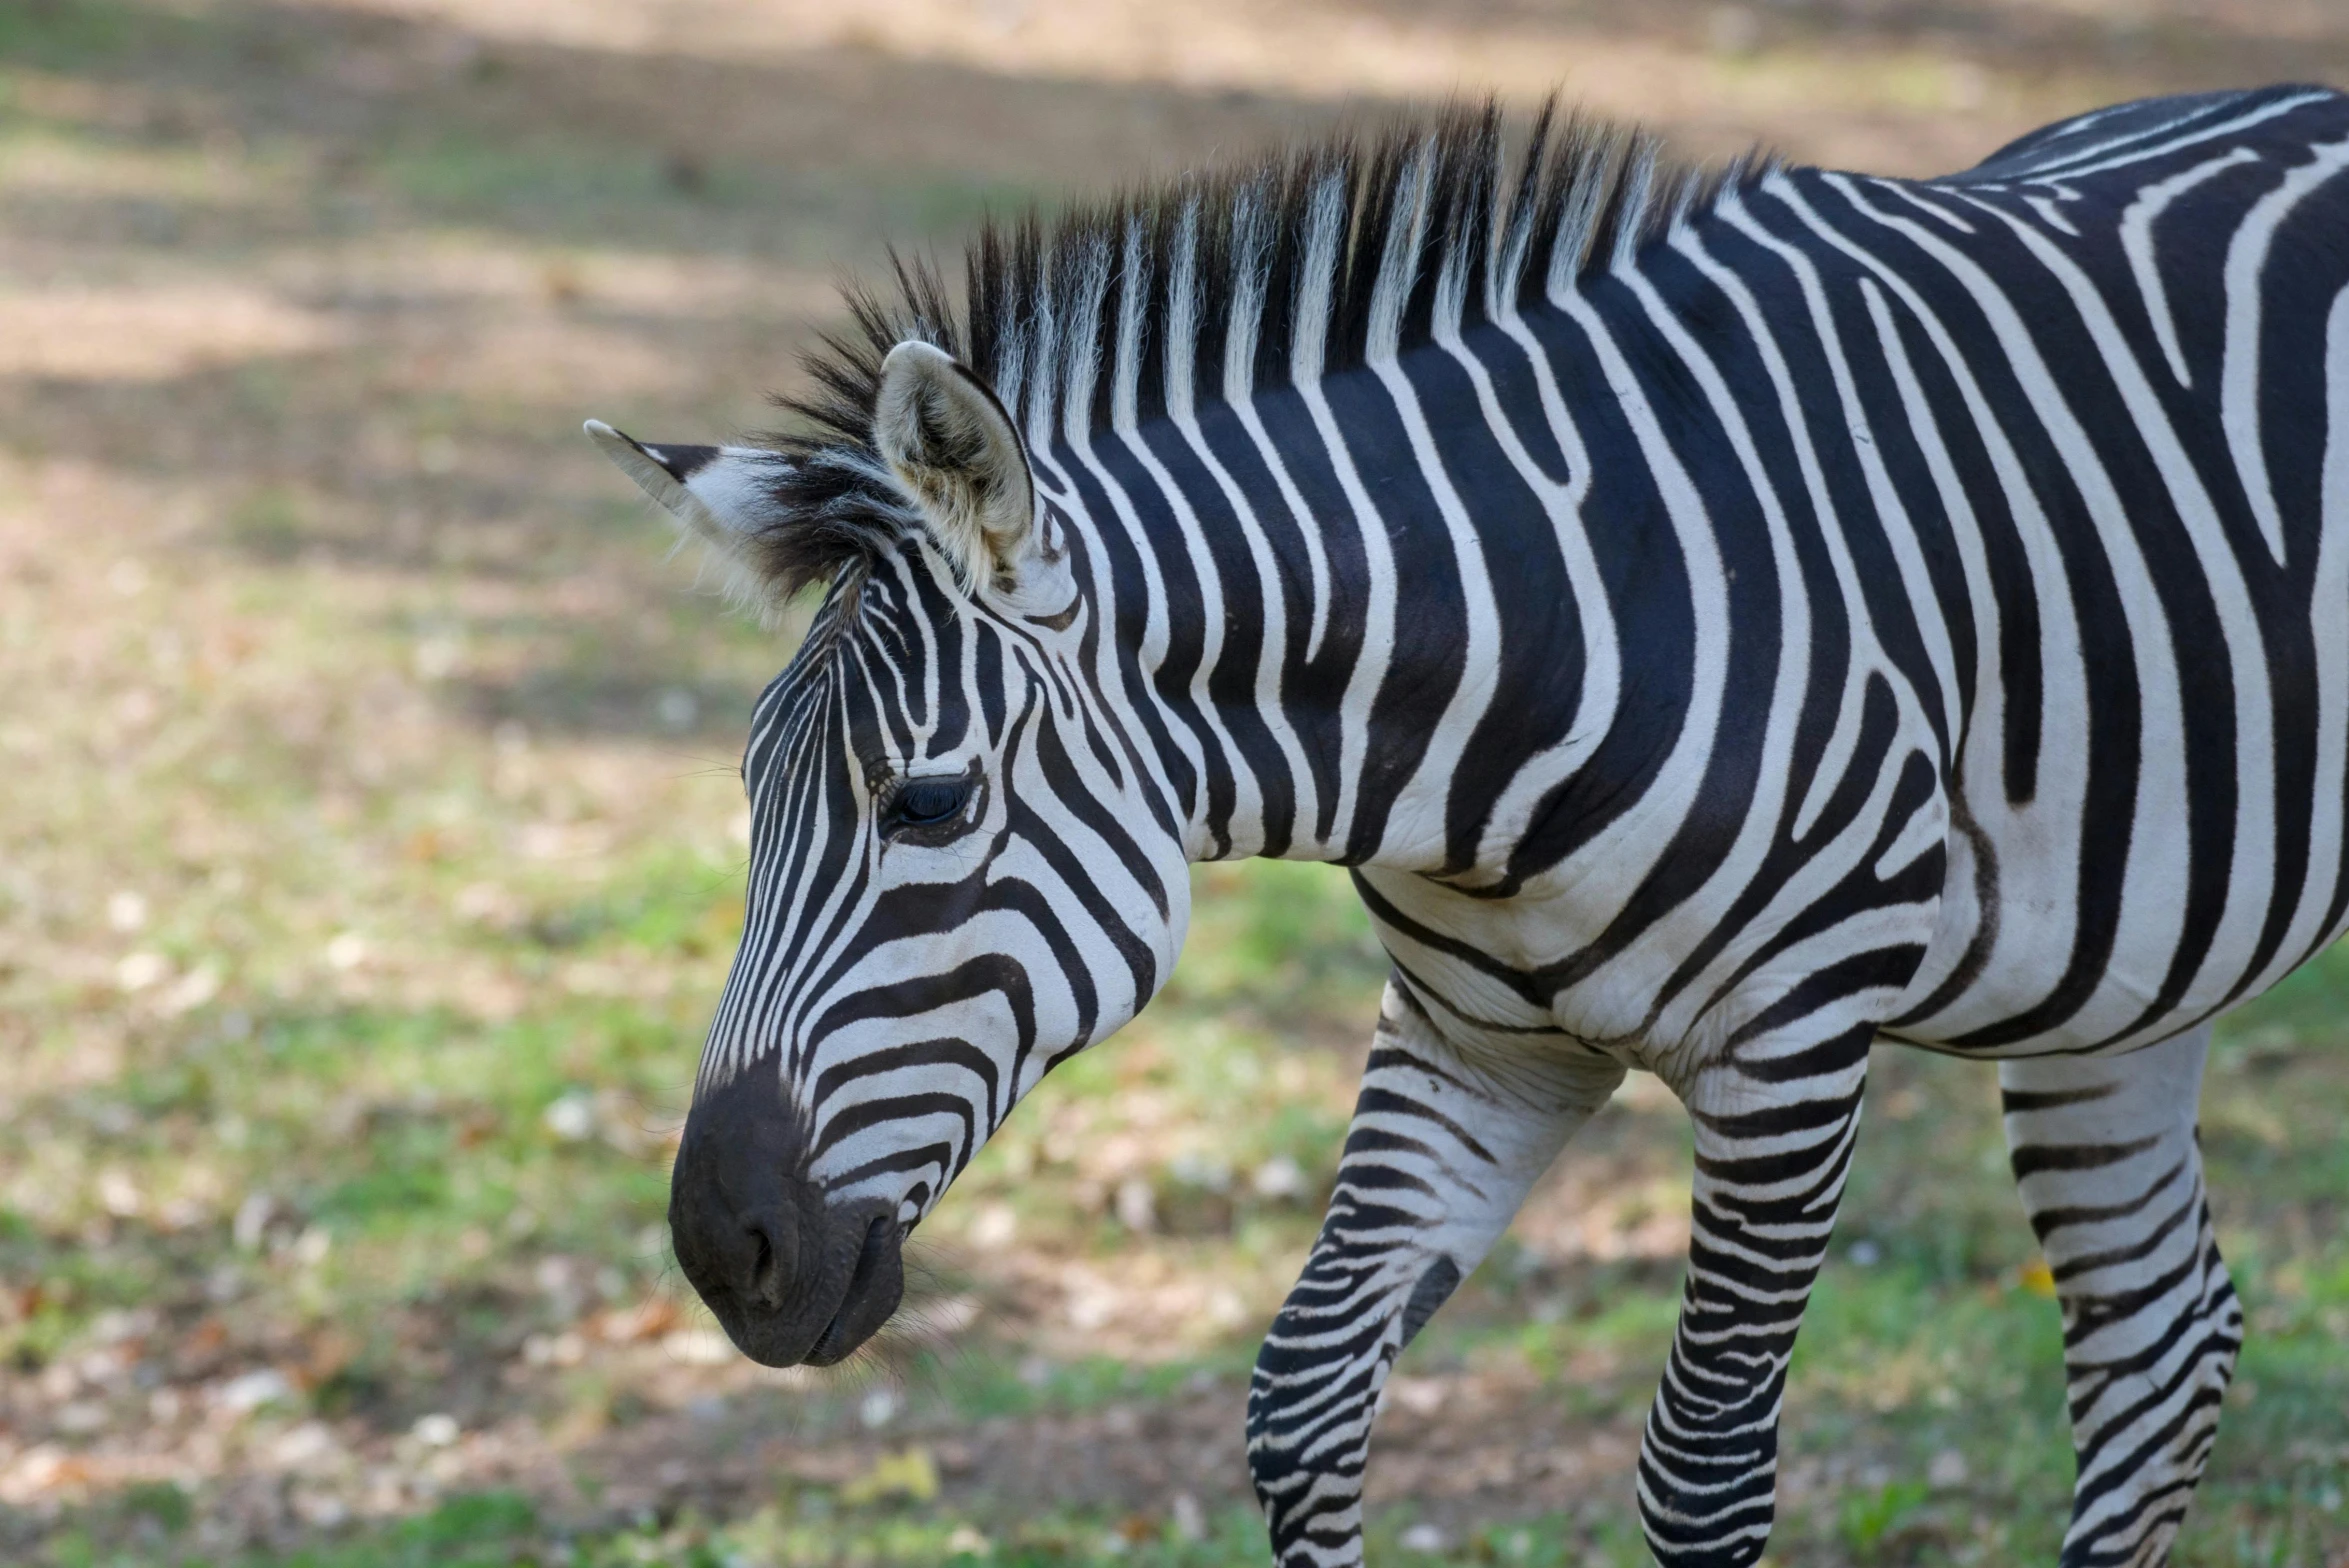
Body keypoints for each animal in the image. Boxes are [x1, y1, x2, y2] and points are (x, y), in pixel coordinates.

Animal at [582, 88, 2349, 1568]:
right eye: (748, 798)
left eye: (929, 801)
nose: (720, 1253)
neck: (1542, 646)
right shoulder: (1477, 1041)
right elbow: (1301, 1402)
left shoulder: (1792, 1056)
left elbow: (1703, 1480)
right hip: (2117, 979)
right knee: (2156, 1343)